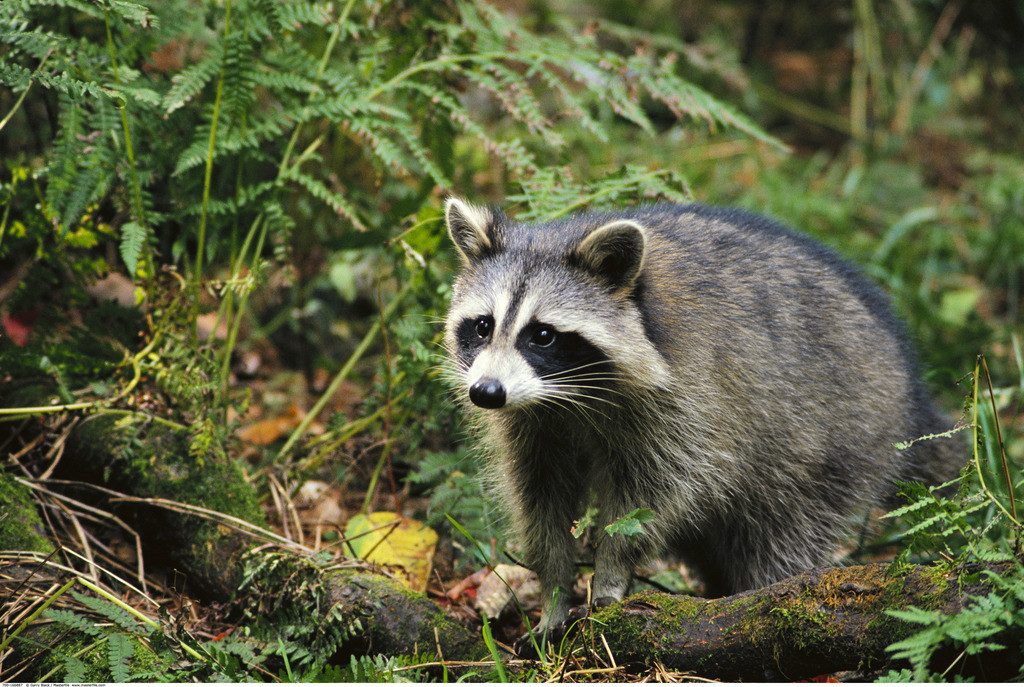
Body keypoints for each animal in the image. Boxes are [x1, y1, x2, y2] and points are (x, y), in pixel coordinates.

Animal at [442, 196, 958, 647]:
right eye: (483, 326)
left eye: (543, 335)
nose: (486, 392)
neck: (564, 397)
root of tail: (909, 385)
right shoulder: (532, 422)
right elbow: (540, 497)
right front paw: (553, 590)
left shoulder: (688, 399)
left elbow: (650, 496)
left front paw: (610, 572)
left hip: (833, 433)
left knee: (786, 530)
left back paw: (764, 594)